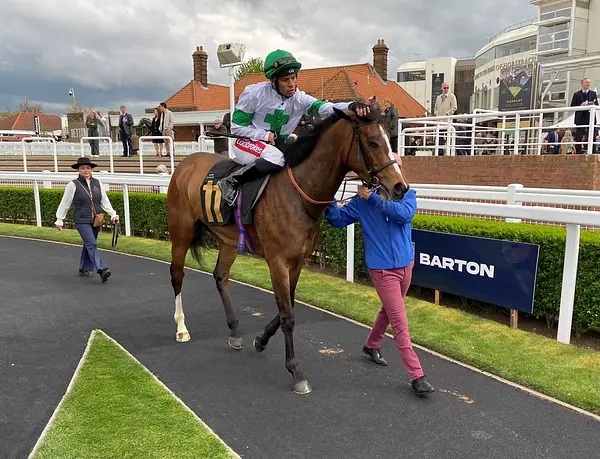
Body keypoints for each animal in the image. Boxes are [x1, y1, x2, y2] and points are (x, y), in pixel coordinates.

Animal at [166, 100, 409, 394]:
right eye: (373, 142)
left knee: (220, 276)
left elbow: (288, 305)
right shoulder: (277, 262)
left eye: (390, 139)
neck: (299, 194)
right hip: (181, 232)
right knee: (177, 274)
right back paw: (181, 328)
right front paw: (295, 371)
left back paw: (235, 331)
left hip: (228, 240)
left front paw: (260, 339)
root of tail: (185, 164)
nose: (400, 187)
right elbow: (288, 316)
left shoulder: (298, 261)